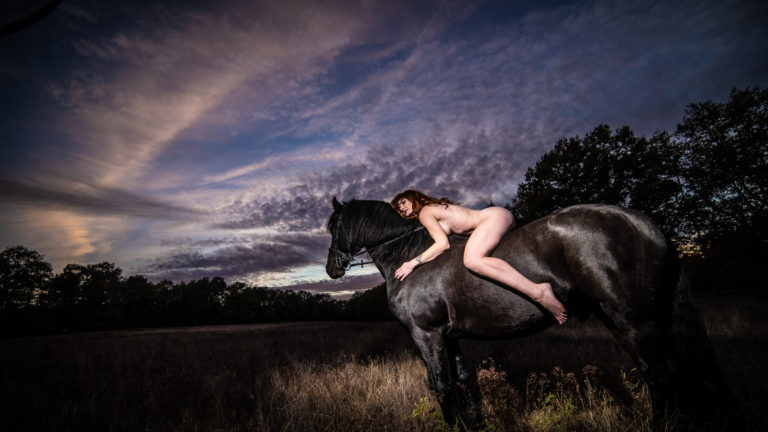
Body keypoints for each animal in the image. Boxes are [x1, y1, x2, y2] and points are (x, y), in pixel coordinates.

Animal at [325, 198, 742, 431]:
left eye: (333, 227)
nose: (332, 269)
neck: (412, 255)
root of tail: (638, 221)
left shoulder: (426, 334)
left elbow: (442, 386)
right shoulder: (450, 336)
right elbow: (464, 380)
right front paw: (477, 424)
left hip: (635, 322)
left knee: (664, 377)